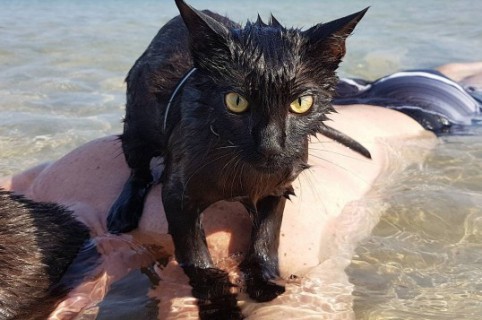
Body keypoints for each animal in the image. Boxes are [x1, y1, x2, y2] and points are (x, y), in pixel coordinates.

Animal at [108, 0, 370, 316]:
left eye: (301, 103)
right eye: (236, 101)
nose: (271, 146)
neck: (244, 177)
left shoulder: (278, 188)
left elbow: (266, 239)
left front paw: (264, 281)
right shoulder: (177, 197)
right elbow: (197, 262)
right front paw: (220, 306)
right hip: (138, 126)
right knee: (138, 169)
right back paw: (123, 212)